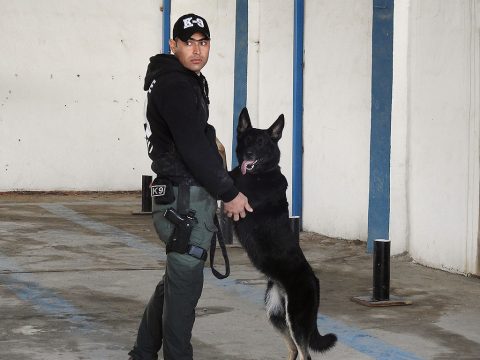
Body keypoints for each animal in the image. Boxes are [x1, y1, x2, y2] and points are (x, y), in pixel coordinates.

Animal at [230, 108, 338, 360]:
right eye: (247, 139)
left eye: (261, 142)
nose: (248, 153)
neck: (262, 173)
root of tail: (314, 281)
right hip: (276, 314)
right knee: (293, 349)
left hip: (296, 318)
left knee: (305, 353)